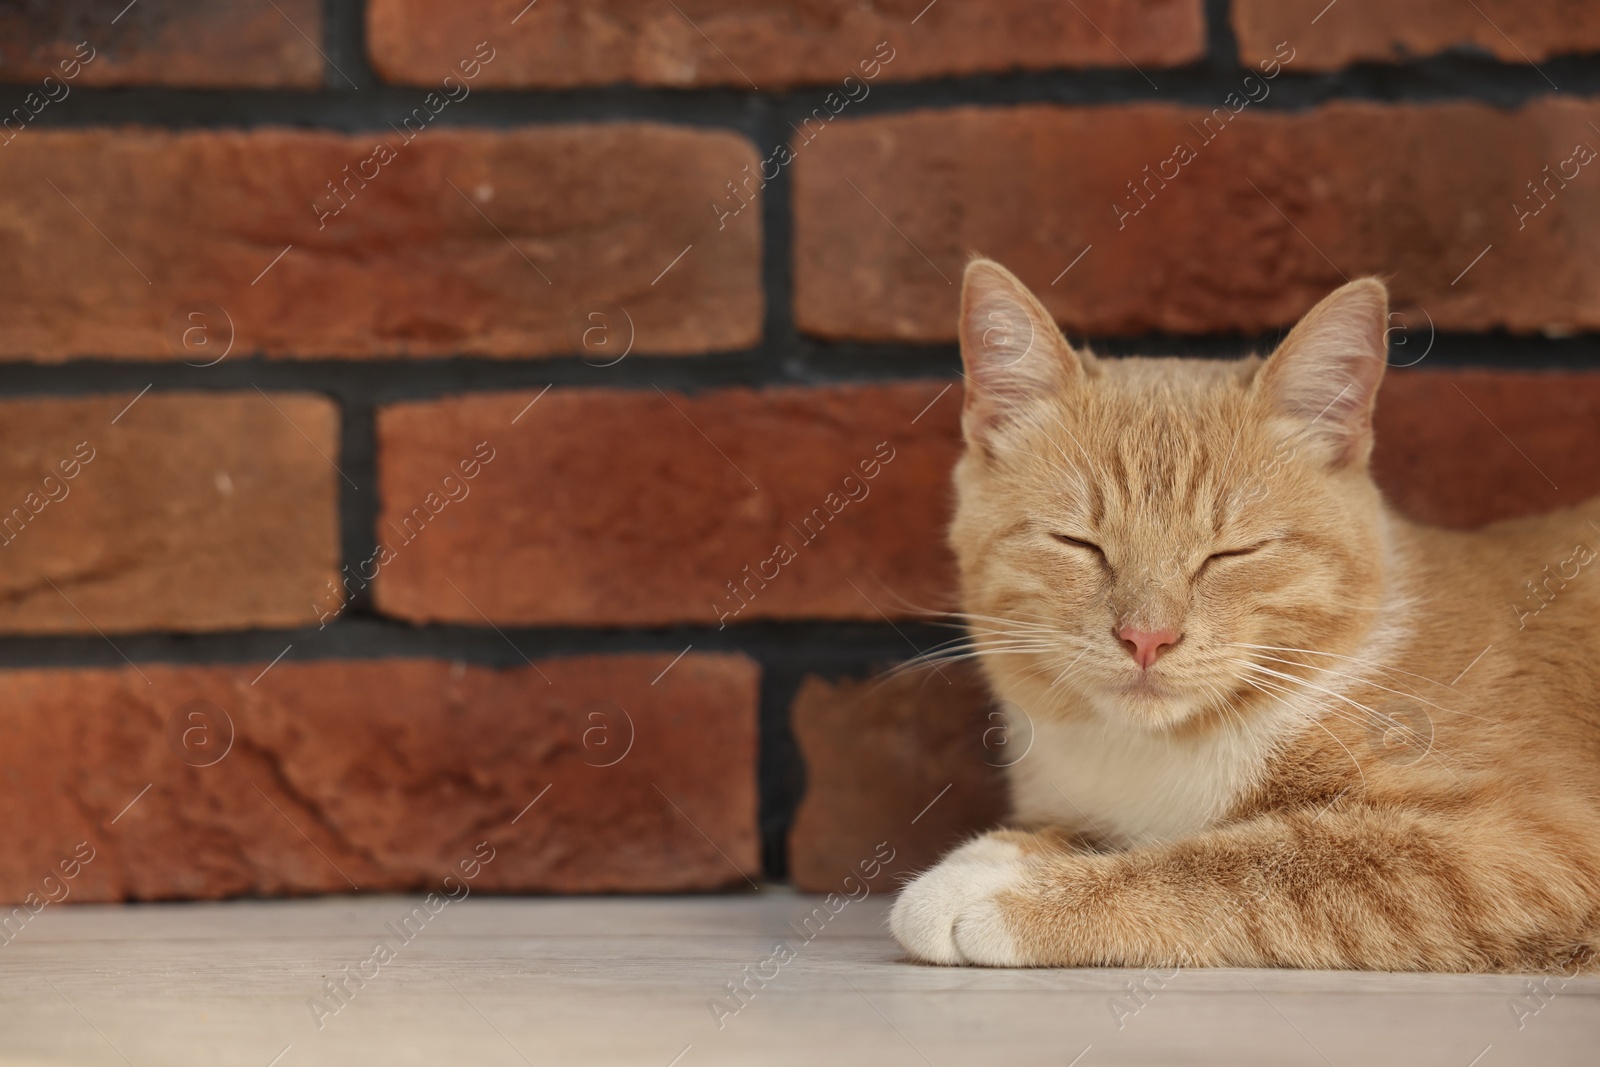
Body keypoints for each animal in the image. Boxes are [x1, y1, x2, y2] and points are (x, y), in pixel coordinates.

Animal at [889, 260, 1600, 979]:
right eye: (1079, 543)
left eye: (1231, 553)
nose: (1147, 637)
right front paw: (1010, 848)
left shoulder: (1523, 846)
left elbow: (1245, 864)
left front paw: (1012, 889)